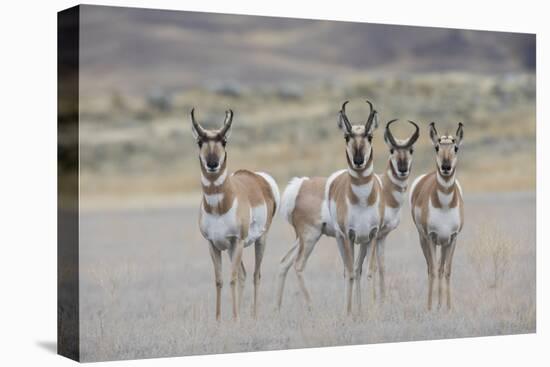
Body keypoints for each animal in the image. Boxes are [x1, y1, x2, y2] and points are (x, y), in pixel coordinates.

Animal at [193, 108, 280, 320]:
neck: (219, 207)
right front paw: (219, 319)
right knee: (244, 274)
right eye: (200, 141)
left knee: (256, 275)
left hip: (258, 241)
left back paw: (254, 316)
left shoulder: (237, 241)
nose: (213, 163)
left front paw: (234, 318)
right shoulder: (213, 245)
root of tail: (259, 178)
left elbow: (231, 278)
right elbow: (219, 280)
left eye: (224, 141)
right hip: (232, 249)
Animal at [278, 100, 382, 316]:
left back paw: (277, 309)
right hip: (311, 237)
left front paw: (367, 310)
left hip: (302, 239)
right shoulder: (348, 237)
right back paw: (312, 308)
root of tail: (301, 184)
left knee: (284, 263)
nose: (358, 161)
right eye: (346, 136)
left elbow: (366, 271)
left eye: (369, 136)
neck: (362, 199)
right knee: (298, 265)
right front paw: (349, 312)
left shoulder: (370, 236)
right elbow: (350, 272)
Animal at [366, 118, 422, 302]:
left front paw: (383, 300)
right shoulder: (373, 236)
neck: (384, 189)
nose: (403, 169)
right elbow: (371, 267)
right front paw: (372, 302)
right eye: (392, 149)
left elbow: (382, 266)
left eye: (411, 149)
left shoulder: (382, 236)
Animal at [410, 123, 466, 310]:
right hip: (424, 240)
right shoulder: (430, 237)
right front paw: (429, 308)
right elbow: (433, 271)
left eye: (455, 148)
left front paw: (448, 308)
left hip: (444, 243)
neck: (445, 205)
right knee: (431, 268)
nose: (446, 167)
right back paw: (434, 305)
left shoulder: (453, 238)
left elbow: (447, 271)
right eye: (436, 147)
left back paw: (441, 304)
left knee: (441, 269)